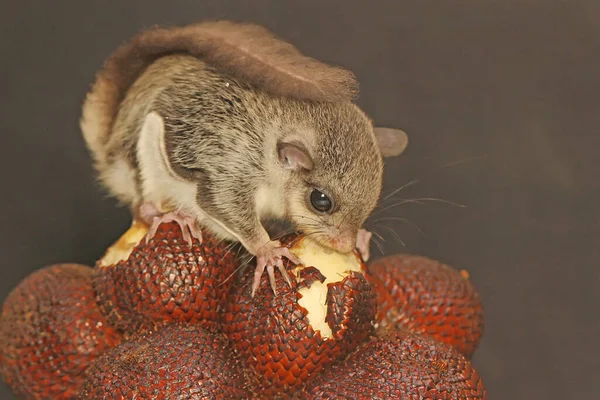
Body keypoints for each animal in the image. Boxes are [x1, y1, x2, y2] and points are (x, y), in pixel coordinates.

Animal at [81, 20, 408, 296]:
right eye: (321, 201)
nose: (344, 245)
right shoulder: (229, 166)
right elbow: (226, 208)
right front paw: (267, 251)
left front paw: (362, 237)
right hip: (144, 154)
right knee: (141, 205)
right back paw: (167, 215)